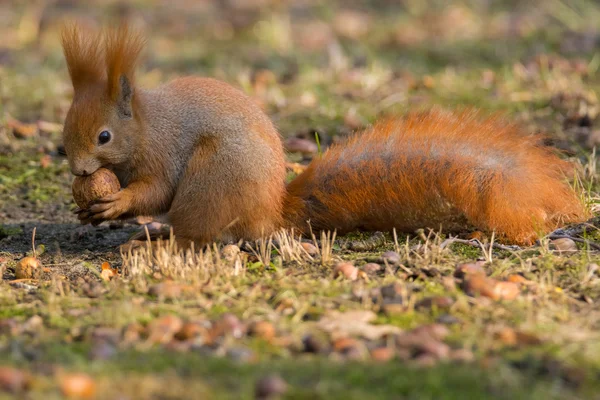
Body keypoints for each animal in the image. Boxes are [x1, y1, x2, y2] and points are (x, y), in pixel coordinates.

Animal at [62, 24, 592, 247]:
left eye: (104, 136)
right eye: (65, 133)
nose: (80, 170)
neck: (144, 126)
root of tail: (271, 215)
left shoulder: (165, 153)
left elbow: (154, 190)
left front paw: (115, 202)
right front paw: (86, 207)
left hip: (211, 181)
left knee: (202, 237)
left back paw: (152, 243)